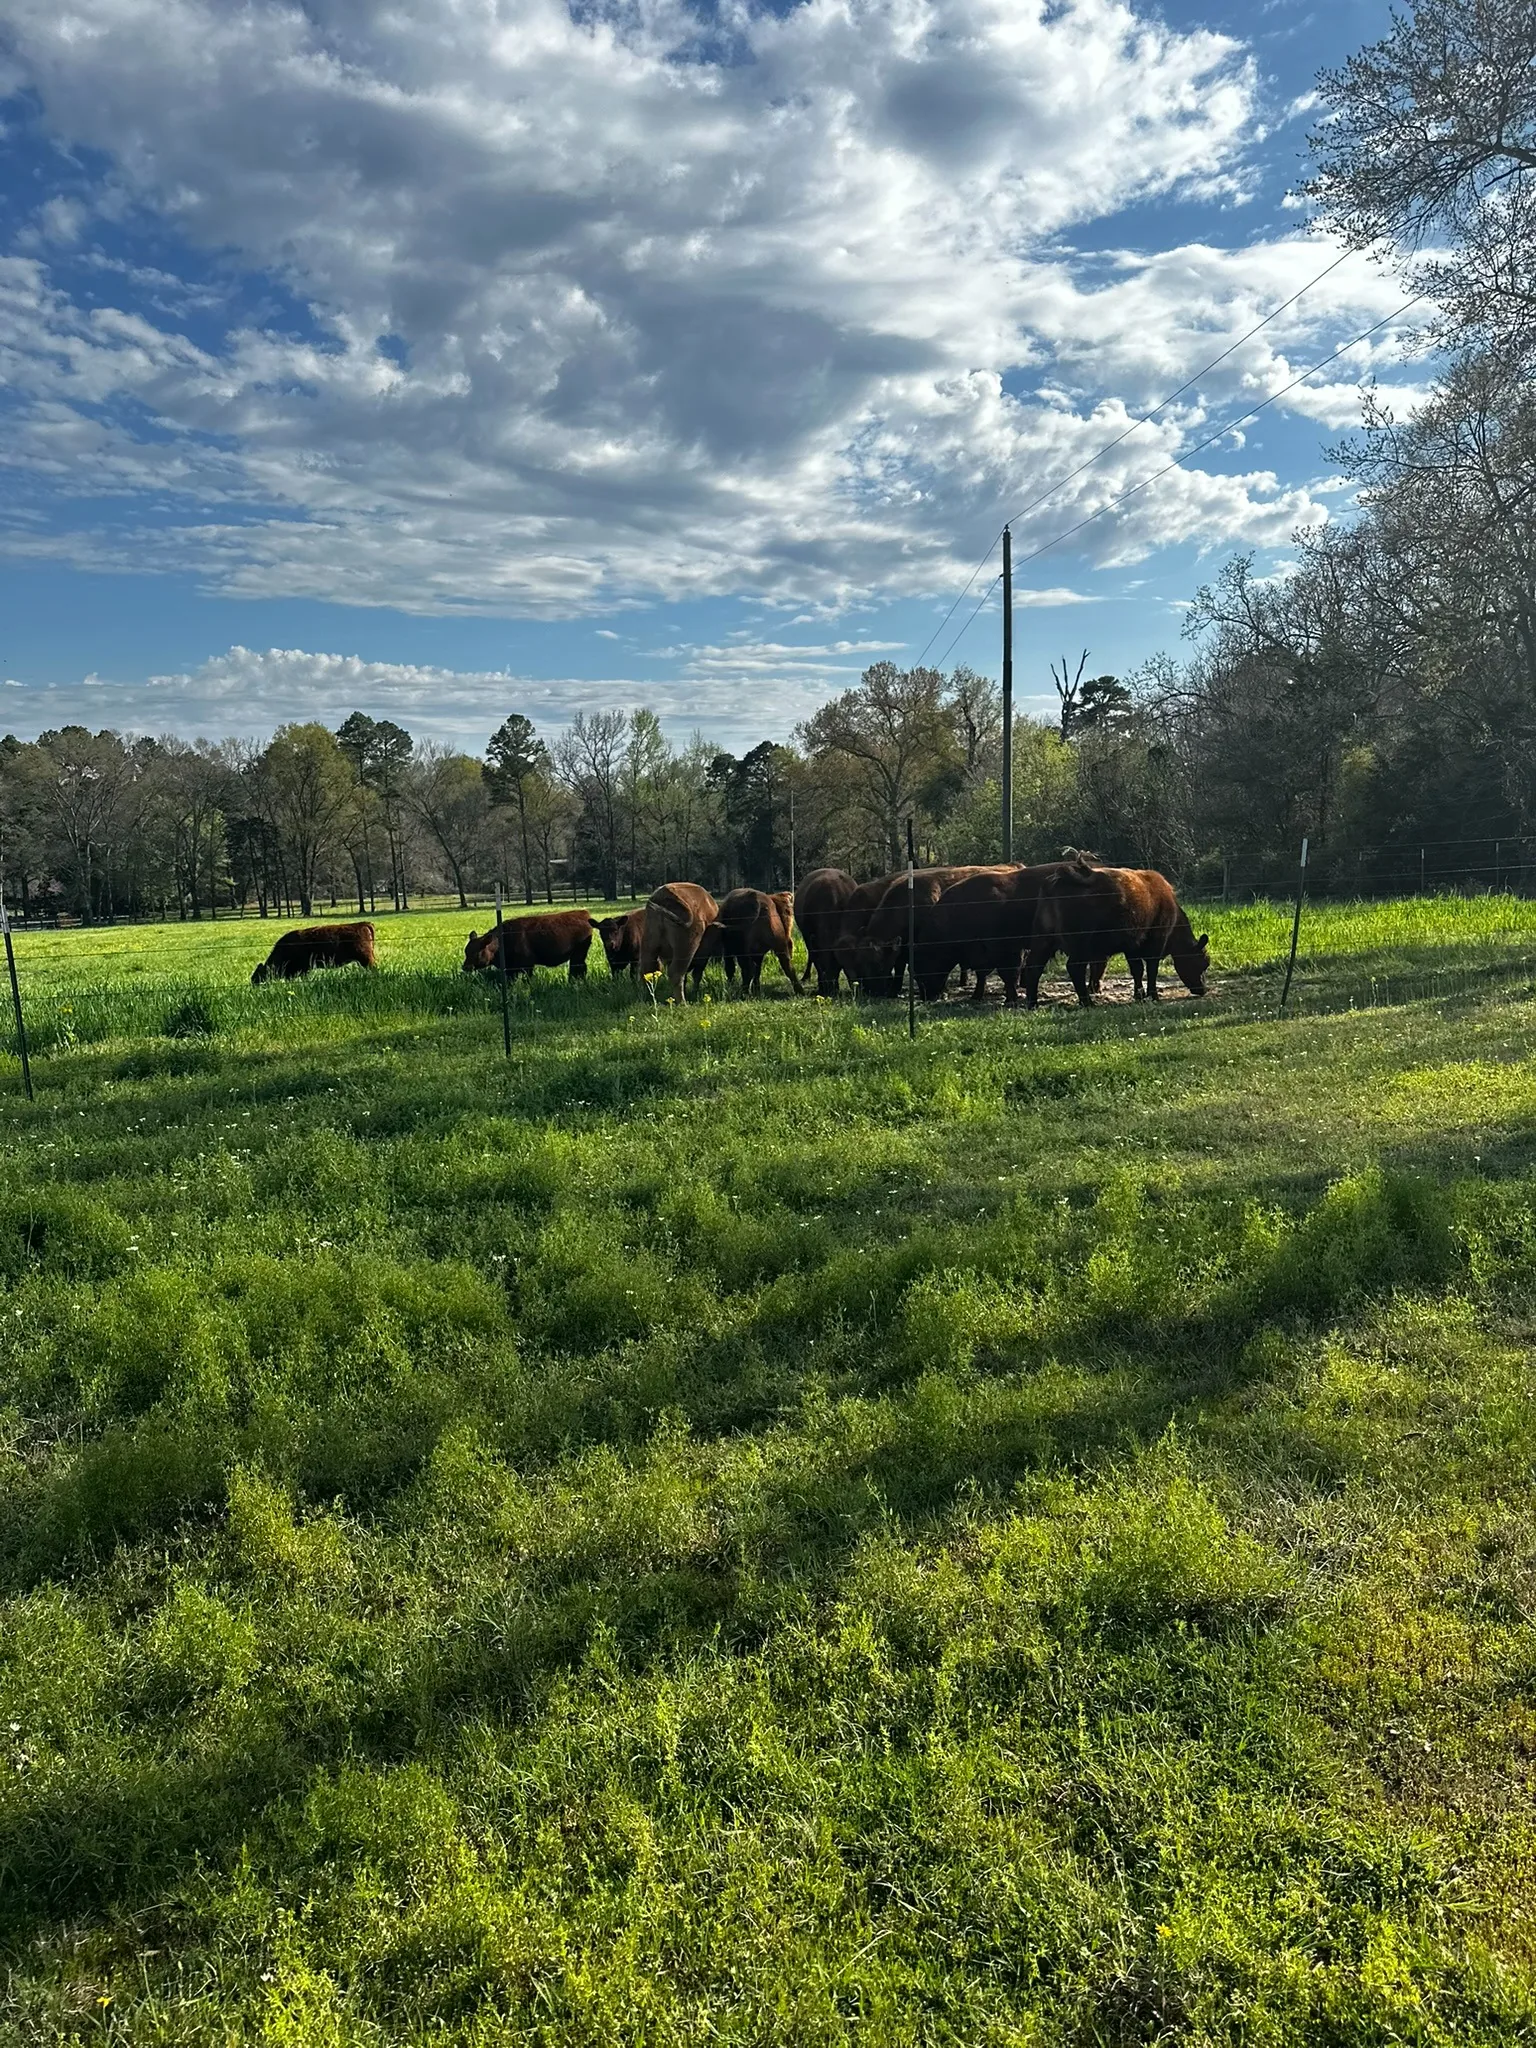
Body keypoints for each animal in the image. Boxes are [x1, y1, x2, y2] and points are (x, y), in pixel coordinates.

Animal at [461, 908, 594, 981]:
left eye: (477, 952)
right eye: (466, 951)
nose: (465, 967)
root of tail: (583, 913)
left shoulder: (527, 964)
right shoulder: (510, 969)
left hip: (578, 955)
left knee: (579, 969)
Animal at [1022, 863, 1209, 1007]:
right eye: (1203, 963)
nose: (1203, 989)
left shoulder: (1133, 945)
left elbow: (1137, 970)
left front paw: (1139, 994)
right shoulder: (1156, 941)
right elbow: (1152, 969)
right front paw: (1153, 995)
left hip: (1043, 941)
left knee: (1033, 968)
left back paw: (1033, 1003)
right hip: (1080, 945)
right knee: (1074, 968)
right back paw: (1087, 1002)